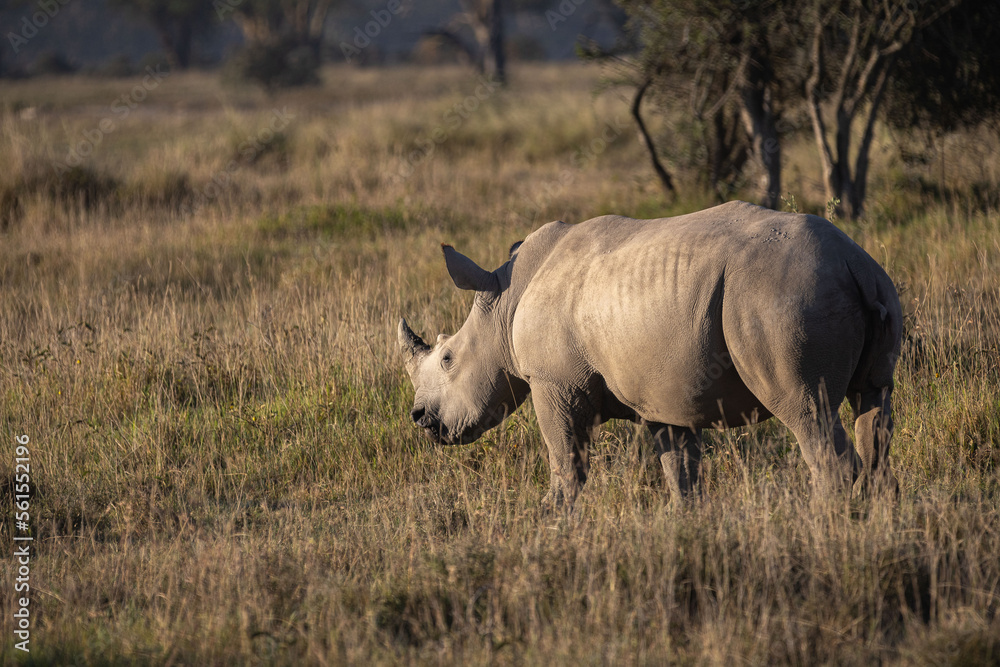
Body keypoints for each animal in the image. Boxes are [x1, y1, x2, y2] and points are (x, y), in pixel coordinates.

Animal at [398, 201, 901, 506]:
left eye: (448, 359)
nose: (421, 417)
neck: (504, 303)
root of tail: (852, 262)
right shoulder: (663, 393)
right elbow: (680, 473)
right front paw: (688, 527)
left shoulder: (553, 383)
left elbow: (566, 463)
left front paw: (552, 519)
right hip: (871, 287)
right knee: (874, 405)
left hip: (782, 296)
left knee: (806, 410)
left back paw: (820, 528)